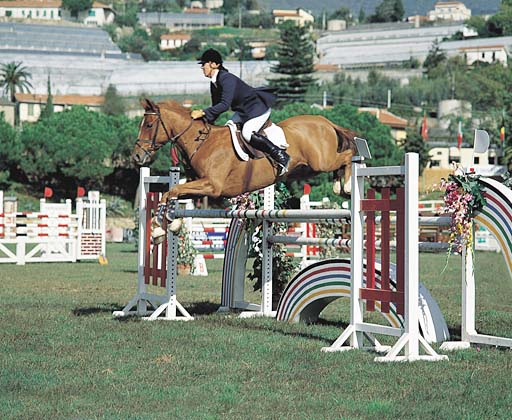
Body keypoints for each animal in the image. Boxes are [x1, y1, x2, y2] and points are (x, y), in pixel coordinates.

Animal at [133, 98, 357, 236]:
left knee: (348, 155)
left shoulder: (212, 186)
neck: (201, 142)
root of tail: (325, 121)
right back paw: (339, 186)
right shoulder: (199, 186)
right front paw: (169, 223)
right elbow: (172, 192)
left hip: (321, 161)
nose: (136, 156)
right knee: (340, 161)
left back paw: (345, 186)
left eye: (149, 125)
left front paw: (160, 227)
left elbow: (173, 191)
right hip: (310, 167)